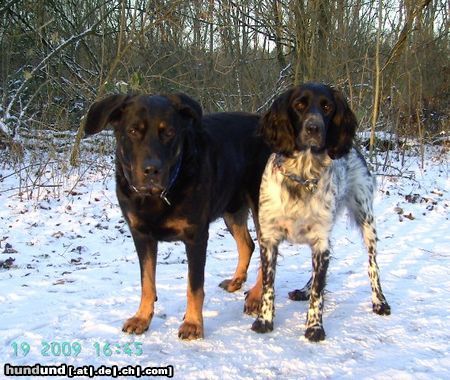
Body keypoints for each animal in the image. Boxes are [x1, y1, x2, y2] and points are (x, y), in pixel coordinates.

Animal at [84, 93, 268, 340]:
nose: (151, 169)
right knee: (247, 244)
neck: (157, 197)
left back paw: (256, 296)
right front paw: (142, 318)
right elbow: (147, 283)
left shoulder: (196, 237)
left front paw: (193, 323)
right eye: (133, 131)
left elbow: (194, 286)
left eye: (169, 132)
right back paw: (236, 281)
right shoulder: (141, 236)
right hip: (232, 208)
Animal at [250, 82, 390, 342]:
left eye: (327, 107)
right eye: (299, 105)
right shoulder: (269, 238)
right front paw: (264, 320)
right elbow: (268, 284)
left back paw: (379, 301)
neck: (302, 177)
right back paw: (303, 290)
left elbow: (319, 290)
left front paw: (314, 327)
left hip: (366, 219)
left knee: (372, 264)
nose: (313, 128)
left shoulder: (321, 241)